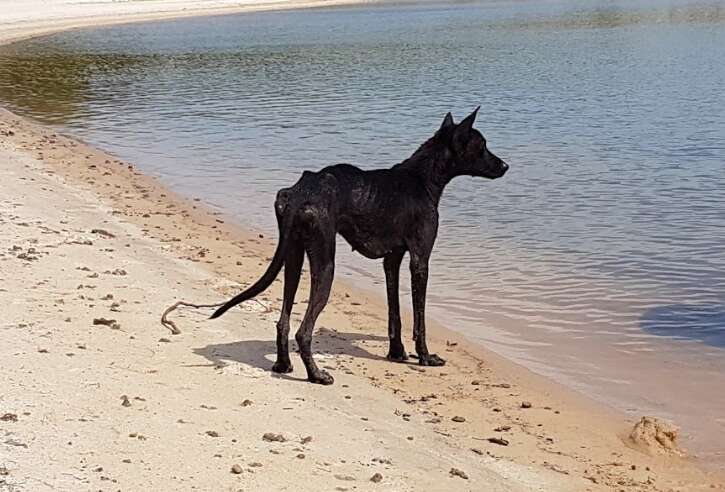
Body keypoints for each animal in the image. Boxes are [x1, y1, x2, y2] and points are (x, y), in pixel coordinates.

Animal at [211, 109, 510, 386]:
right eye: (482, 145)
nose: (506, 166)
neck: (422, 179)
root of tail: (300, 192)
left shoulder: (392, 261)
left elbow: (394, 313)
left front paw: (397, 352)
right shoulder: (420, 260)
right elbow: (419, 319)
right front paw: (425, 356)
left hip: (293, 258)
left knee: (283, 322)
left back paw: (283, 365)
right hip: (325, 265)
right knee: (303, 331)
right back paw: (316, 374)